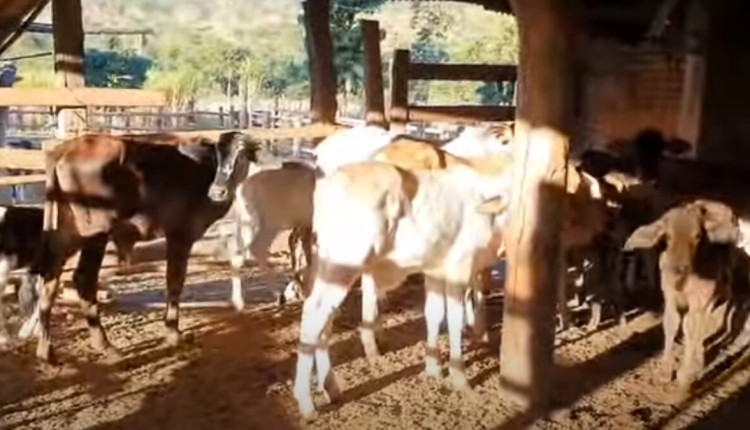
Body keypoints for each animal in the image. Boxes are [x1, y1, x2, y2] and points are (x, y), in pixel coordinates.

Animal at [624, 200, 744, 388]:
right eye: (667, 237)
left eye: (698, 236)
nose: (680, 268)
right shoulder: (669, 293)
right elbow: (671, 322)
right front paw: (666, 372)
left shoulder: (702, 297)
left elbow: (690, 326)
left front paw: (685, 374)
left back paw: (697, 360)